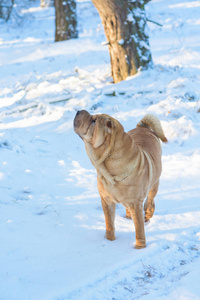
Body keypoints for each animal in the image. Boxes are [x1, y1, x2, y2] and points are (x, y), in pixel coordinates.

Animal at [73, 110, 167, 248]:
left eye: (94, 121)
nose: (79, 111)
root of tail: (143, 127)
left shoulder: (136, 202)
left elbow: (139, 228)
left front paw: (139, 247)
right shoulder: (106, 200)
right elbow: (109, 222)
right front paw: (110, 240)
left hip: (154, 184)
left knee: (150, 201)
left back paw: (147, 215)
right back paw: (128, 217)